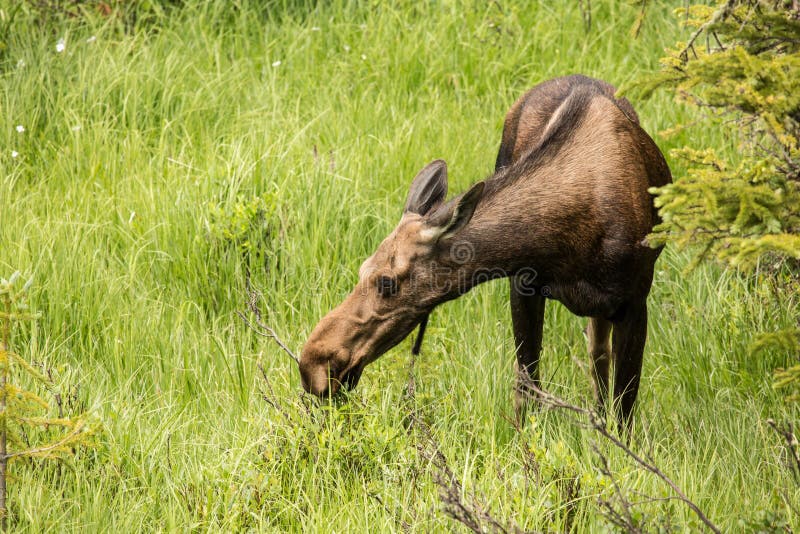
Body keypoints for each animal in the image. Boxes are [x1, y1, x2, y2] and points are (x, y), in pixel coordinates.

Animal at [298, 74, 668, 432]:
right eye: (362, 269)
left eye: (387, 282)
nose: (313, 363)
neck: (567, 241)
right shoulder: (524, 285)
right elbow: (527, 386)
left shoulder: (634, 302)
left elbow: (624, 407)